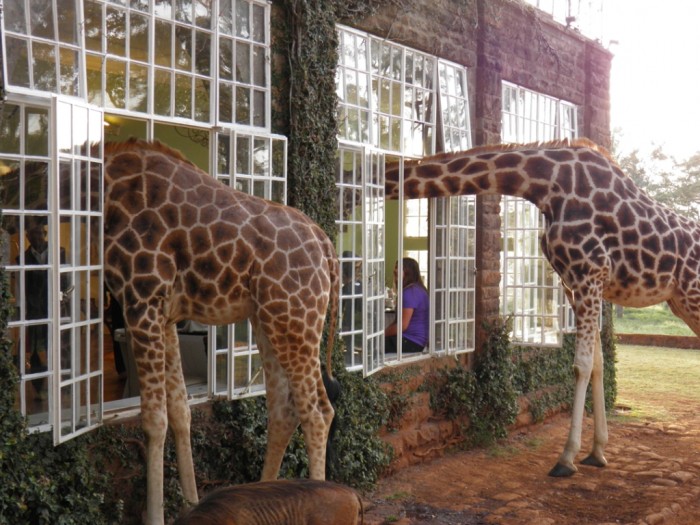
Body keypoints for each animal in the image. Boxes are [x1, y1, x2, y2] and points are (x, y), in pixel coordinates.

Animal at [102, 138, 339, 525]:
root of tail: (327, 246)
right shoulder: (165, 317)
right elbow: (180, 410)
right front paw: (191, 503)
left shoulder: (140, 300)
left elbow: (153, 419)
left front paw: (156, 515)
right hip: (273, 319)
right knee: (286, 410)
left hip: (294, 318)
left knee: (317, 412)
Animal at [386, 138, 700, 477]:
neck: (546, 184)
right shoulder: (574, 283)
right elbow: (598, 363)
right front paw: (597, 452)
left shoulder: (589, 274)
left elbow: (581, 365)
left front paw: (566, 458)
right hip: (681, 302)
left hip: (693, 298)